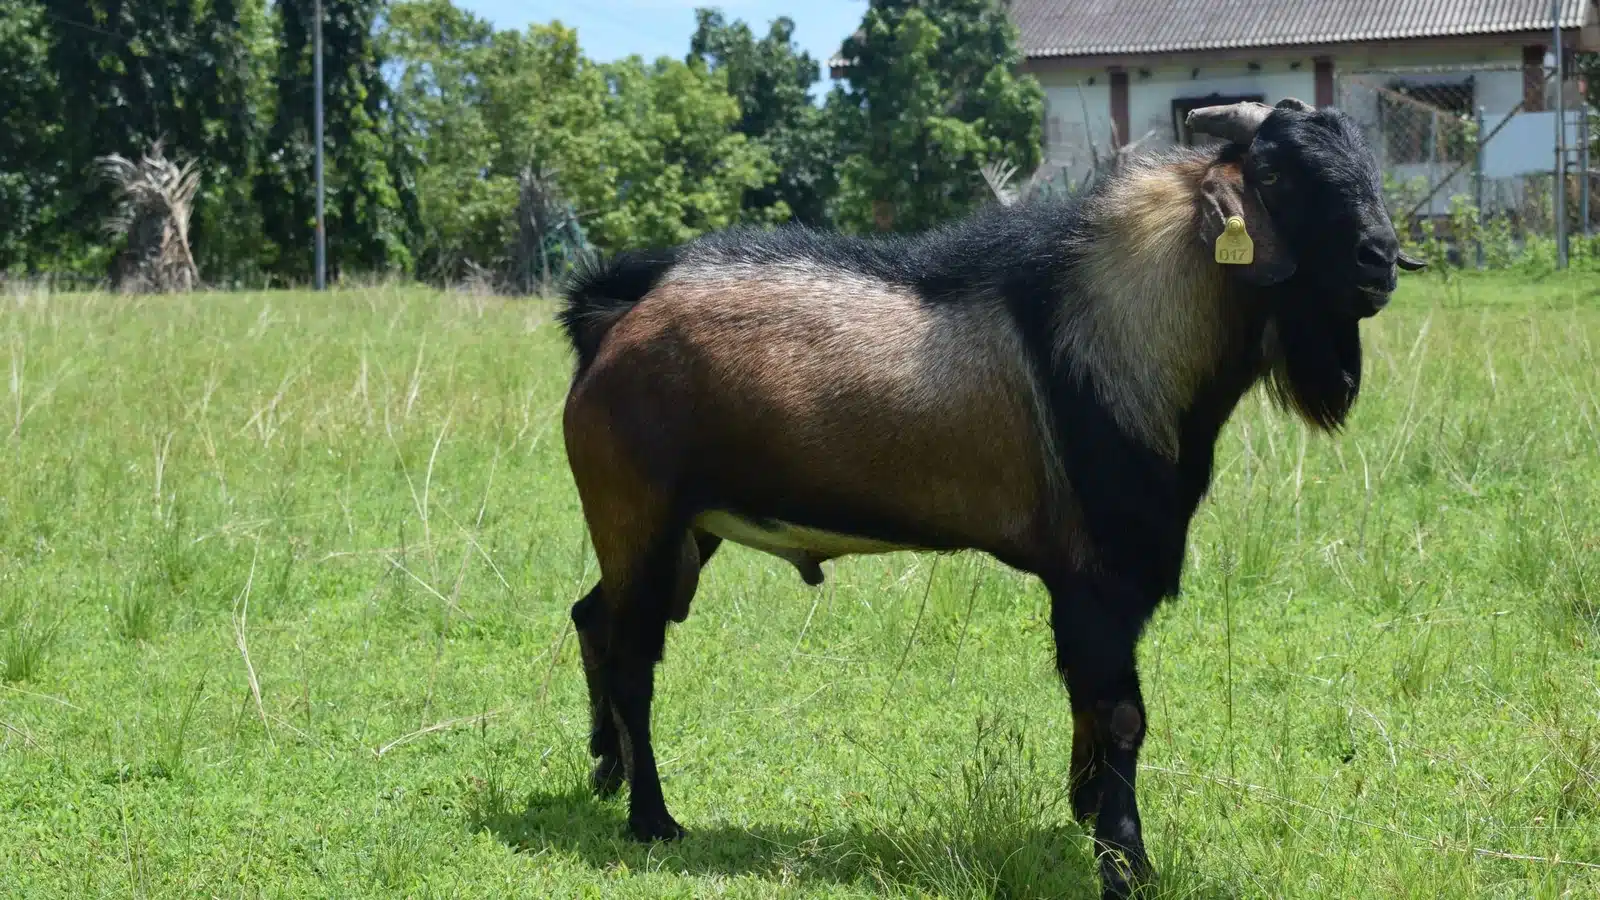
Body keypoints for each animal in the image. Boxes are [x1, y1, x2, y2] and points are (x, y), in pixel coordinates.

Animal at [557, 98, 1424, 899]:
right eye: (1274, 174)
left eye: (1366, 163)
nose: (1379, 259)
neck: (1114, 332)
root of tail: (612, 318)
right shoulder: (1097, 573)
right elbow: (1121, 714)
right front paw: (1126, 865)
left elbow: (1090, 706)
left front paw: (1084, 816)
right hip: (637, 510)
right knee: (632, 654)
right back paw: (653, 819)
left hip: (679, 530)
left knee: (593, 616)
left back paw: (605, 772)